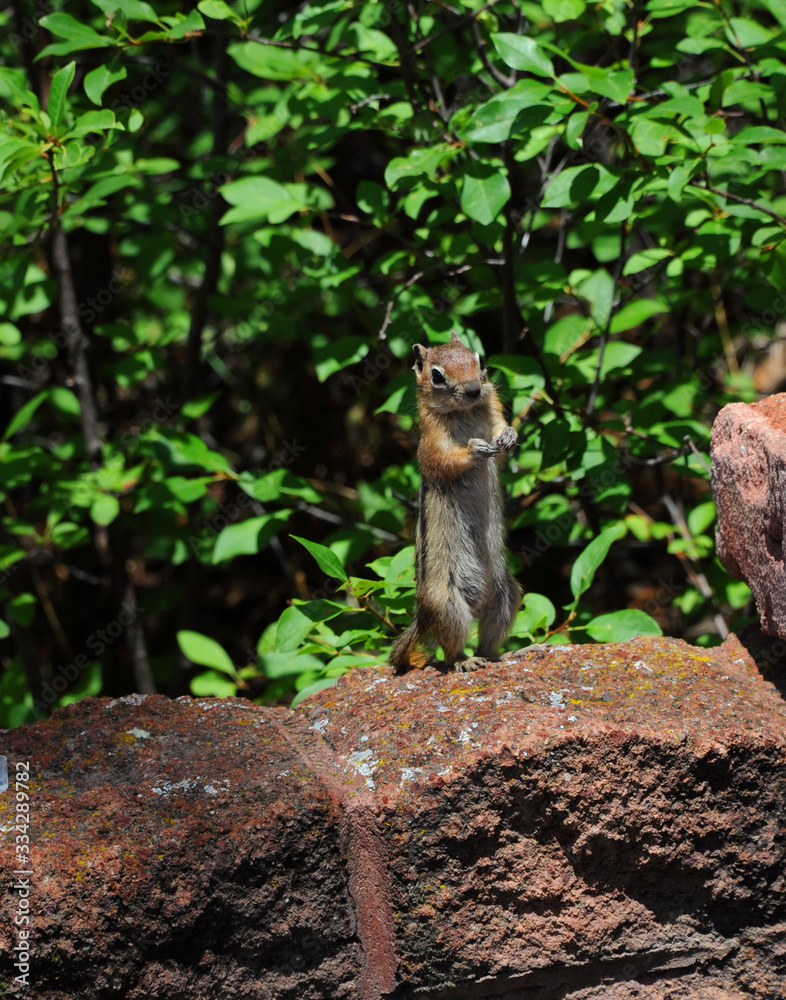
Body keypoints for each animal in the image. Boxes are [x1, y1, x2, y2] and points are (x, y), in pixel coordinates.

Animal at [389, 331, 521, 673]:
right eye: (437, 376)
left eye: (480, 360)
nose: (474, 389)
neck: (466, 411)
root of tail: (422, 613)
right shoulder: (431, 444)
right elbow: (445, 461)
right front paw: (475, 449)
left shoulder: (493, 408)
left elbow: (501, 430)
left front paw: (509, 435)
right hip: (448, 604)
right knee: (450, 651)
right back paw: (466, 661)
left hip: (506, 594)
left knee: (489, 640)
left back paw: (508, 653)